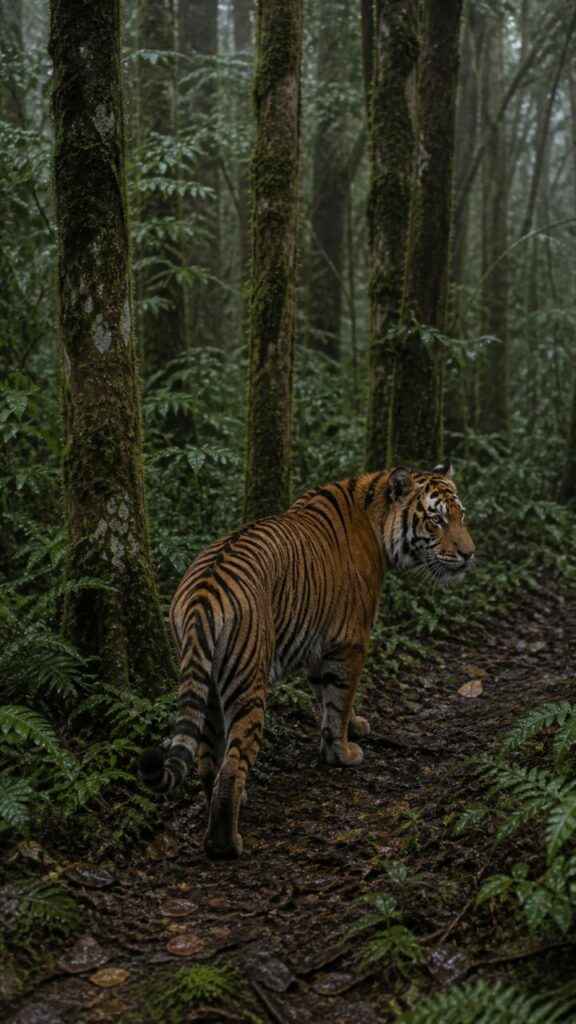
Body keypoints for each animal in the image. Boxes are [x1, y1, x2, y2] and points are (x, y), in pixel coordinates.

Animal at [139, 460, 475, 858]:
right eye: (436, 520)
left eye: (462, 515)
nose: (470, 554)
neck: (375, 518)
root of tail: (203, 593)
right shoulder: (350, 641)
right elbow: (340, 700)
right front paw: (344, 753)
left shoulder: (319, 645)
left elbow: (327, 699)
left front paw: (349, 731)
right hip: (247, 682)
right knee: (232, 765)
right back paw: (226, 843)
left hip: (206, 688)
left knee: (208, 760)